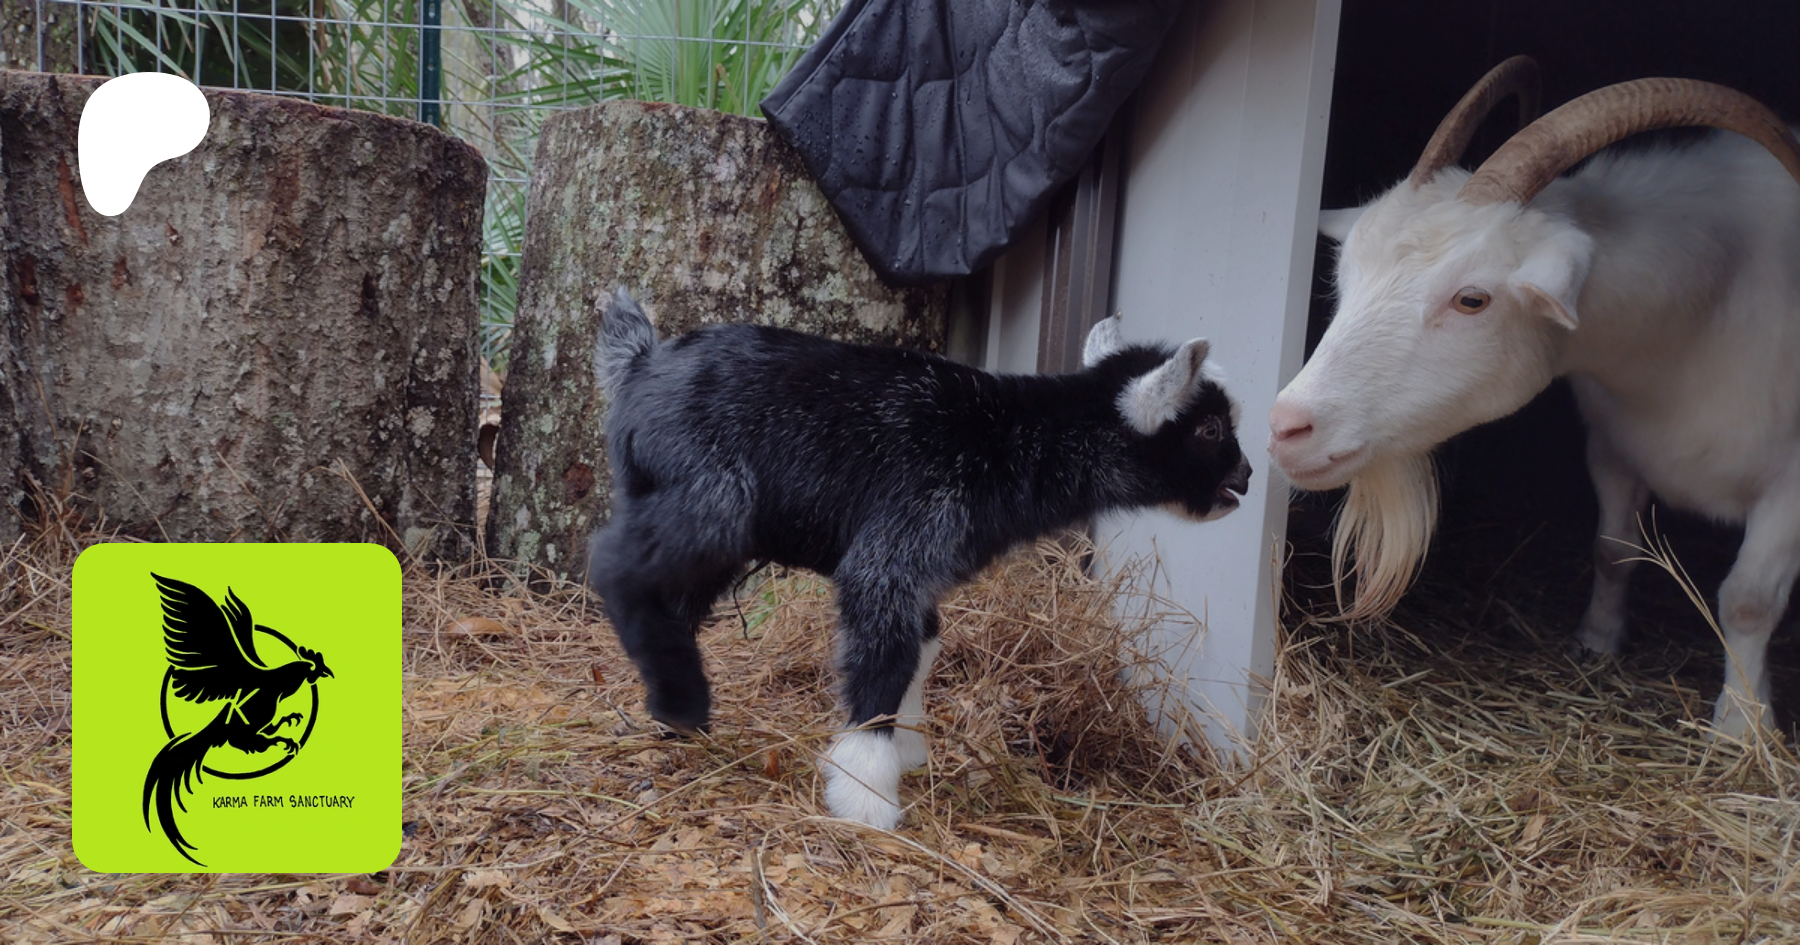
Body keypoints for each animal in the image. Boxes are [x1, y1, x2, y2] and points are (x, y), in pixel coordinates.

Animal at [587, 288, 1251, 827]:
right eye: (1210, 429)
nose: (1244, 477)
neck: (1010, 441)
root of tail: (641, 363)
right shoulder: (899, 546)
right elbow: (886, 656)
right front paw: (864, 793)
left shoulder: (925, 574)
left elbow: (923, 646)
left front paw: (906, 753)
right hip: (714, 497)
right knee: (614, 565)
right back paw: (683, 703)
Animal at [1267, 56, 1800, 738]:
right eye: (1346, 273)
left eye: (1472, 299)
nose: (1287, 427)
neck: (1703, 315)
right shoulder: (1611, 445)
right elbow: (1612, 551)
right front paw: (1596, 642)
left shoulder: (1790, 487)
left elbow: (1748, 600)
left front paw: (1741, 726)